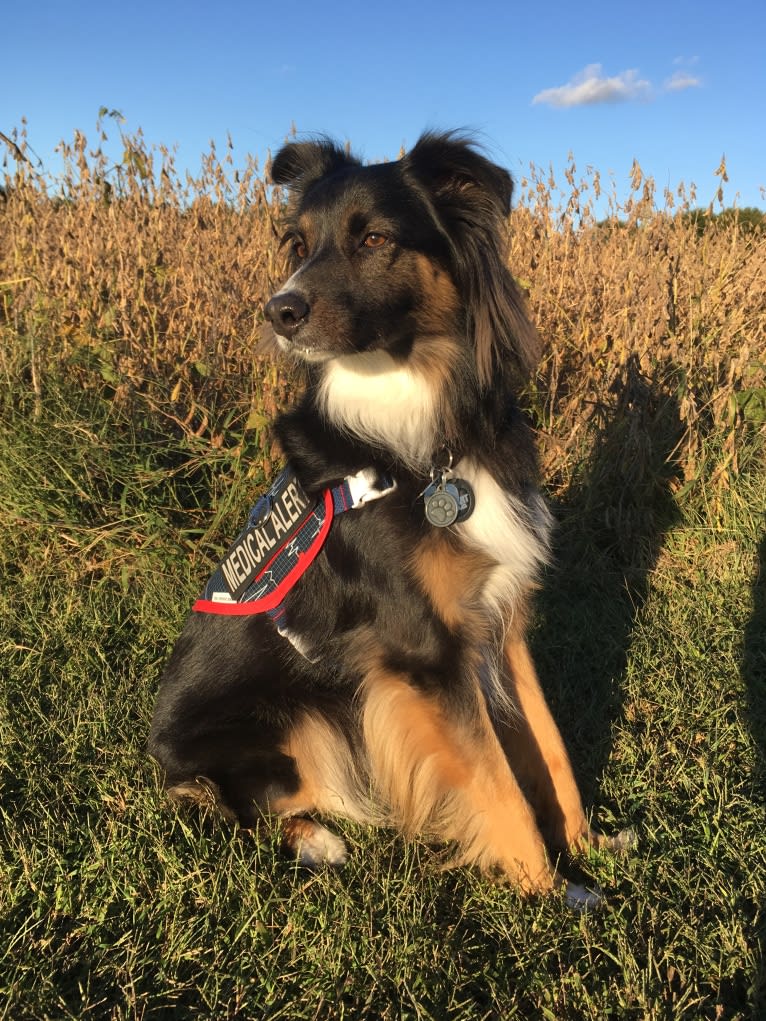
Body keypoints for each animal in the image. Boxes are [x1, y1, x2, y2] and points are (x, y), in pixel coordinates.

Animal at [150, 131, 625, 906]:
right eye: (297, 244)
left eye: (373, 238)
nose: (278, 311)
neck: (420, 439)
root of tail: (156, 746)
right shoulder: (423, 651)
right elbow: (499, 785)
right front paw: (548, 894)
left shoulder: (499, 622)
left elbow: (549, 748)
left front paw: (587, 849)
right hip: (300, 724)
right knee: (227, 803)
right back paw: (314, 839)